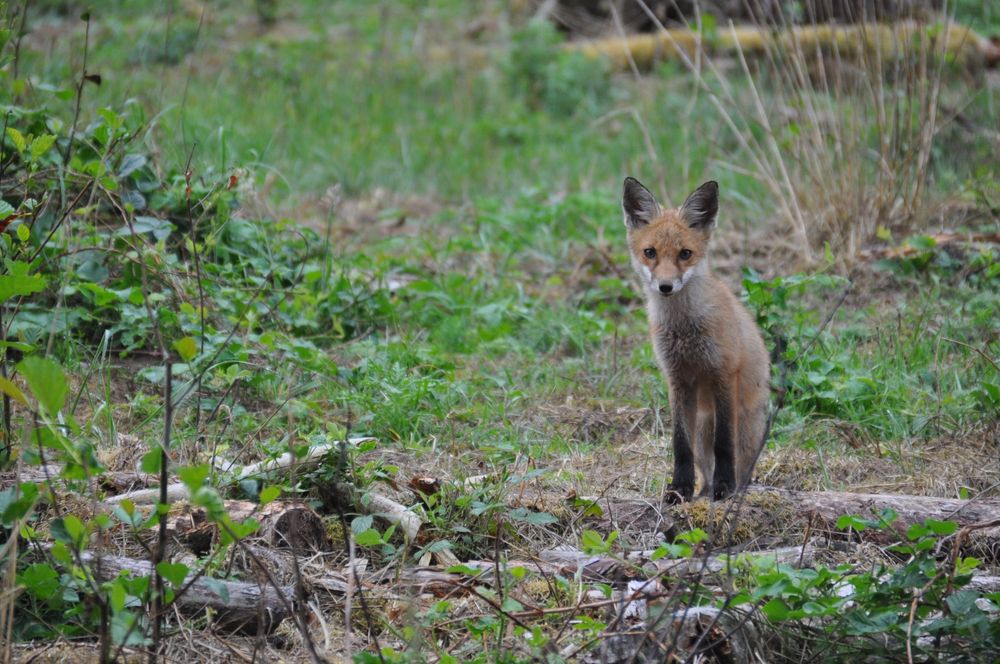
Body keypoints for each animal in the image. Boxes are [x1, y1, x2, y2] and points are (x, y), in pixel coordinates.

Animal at [620, 179, 768, 500]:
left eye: (685, 254)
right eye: (650, 252)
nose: (665, 286)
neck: (684, 330)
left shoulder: (724, 373)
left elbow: (724, 444)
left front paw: (725, 487)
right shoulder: (677, 379)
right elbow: (679, 444)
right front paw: (680, 488)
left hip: (742, 430)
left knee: (741, 467)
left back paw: (733, 489)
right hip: (701, 429)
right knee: (704, 470)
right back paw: (702, 491)